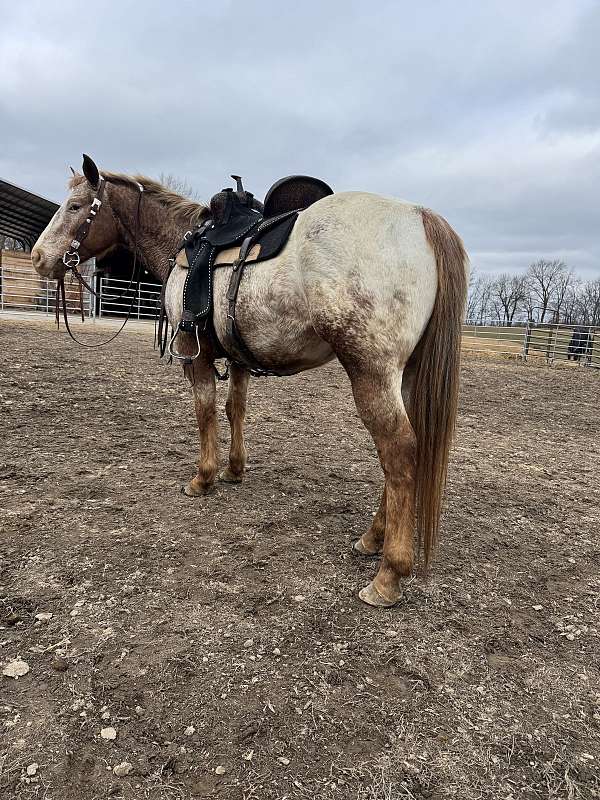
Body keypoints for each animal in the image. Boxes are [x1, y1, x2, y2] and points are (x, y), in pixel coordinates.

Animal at [32, 155, 469, 608]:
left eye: (76, 207)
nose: (38, 258)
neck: (183, 244)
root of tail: (419, 217)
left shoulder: (195, 355)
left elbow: (205, 411)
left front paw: (203, 478)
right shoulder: (238, 358)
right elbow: (234, 409)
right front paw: (234, 470)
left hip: (372, 374)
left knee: (398, 452)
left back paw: (388, 576)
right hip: (405, 377)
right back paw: (371, 539)